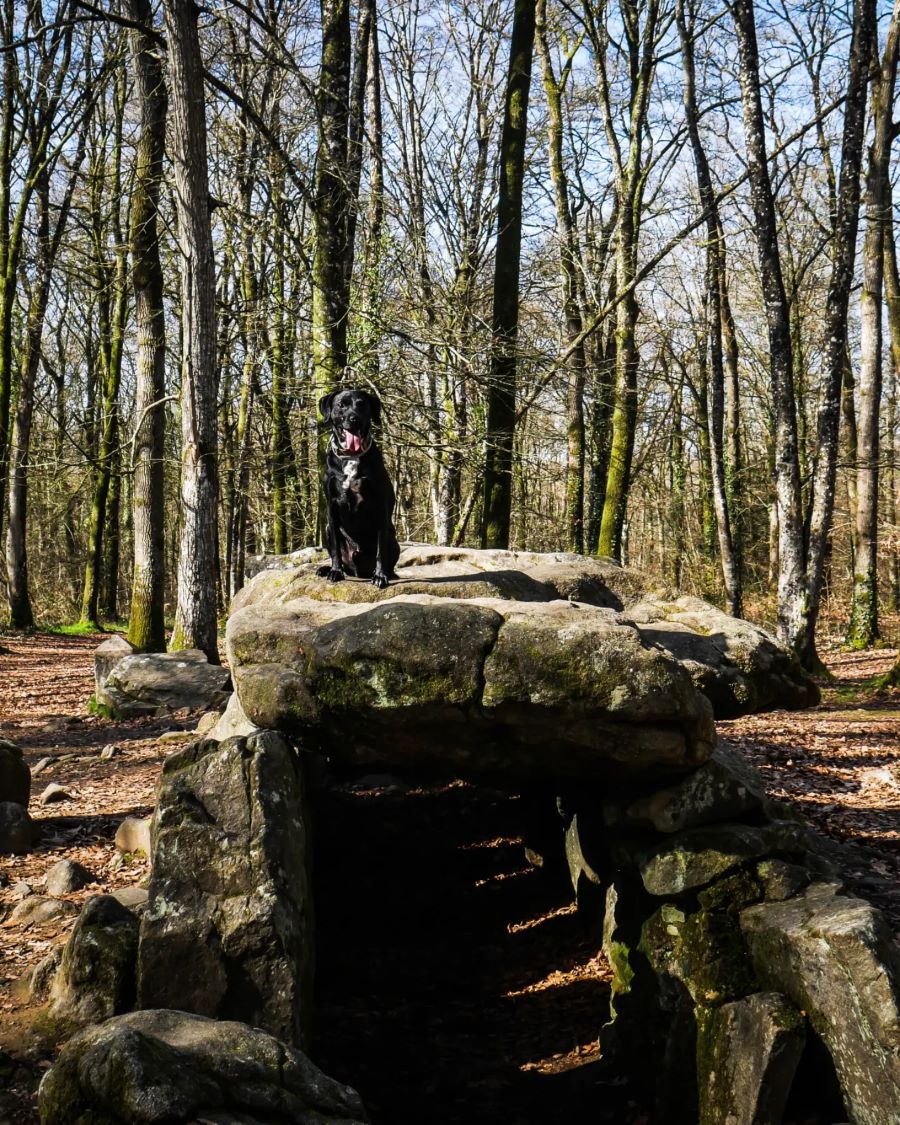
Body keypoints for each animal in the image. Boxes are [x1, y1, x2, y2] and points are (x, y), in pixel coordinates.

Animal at [317, 387, 398, 589]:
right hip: (328, 529)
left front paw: (380, 576)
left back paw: (387, 573)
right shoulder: (331, 506)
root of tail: (358, 571)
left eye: (362, 404)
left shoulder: (380, 507)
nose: (354, 418)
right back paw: (327, 569)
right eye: (341, 405)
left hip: (392, 537)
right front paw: (335, 571)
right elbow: (336, 548)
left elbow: (381, 550)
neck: (351, 456)